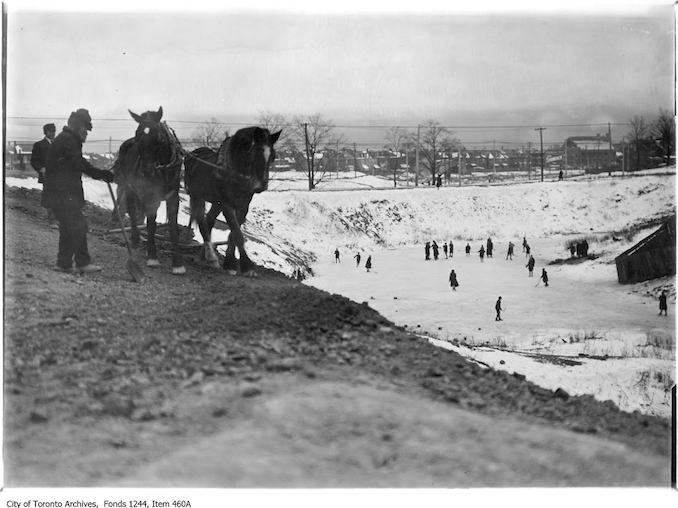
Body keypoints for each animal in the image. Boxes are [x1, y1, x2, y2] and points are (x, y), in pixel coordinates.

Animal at [113, 105, 186, 276]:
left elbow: (173, 228)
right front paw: (152, 256)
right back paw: (135, 239)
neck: (163, 169)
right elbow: (151, 224)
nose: (146, 171)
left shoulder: (173, 197)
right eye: (137, 135)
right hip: (129, 186)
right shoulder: (151, 196)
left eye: (160, 139)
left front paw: (178, 264)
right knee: (132, 210)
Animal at [183, 128, 282, 278]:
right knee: (202, 223)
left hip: (215, 202)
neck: (234, 173)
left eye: (273, 156)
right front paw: (246, 266)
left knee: (209, 220)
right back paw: (210, 257)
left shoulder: (243, 207)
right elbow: (237, 234)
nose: (261, 186)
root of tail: (193, 154)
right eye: (254, 154)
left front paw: (230, 263)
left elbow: (233, 235)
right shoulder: (227, 205)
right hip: (197, 197)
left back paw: (202, 256)